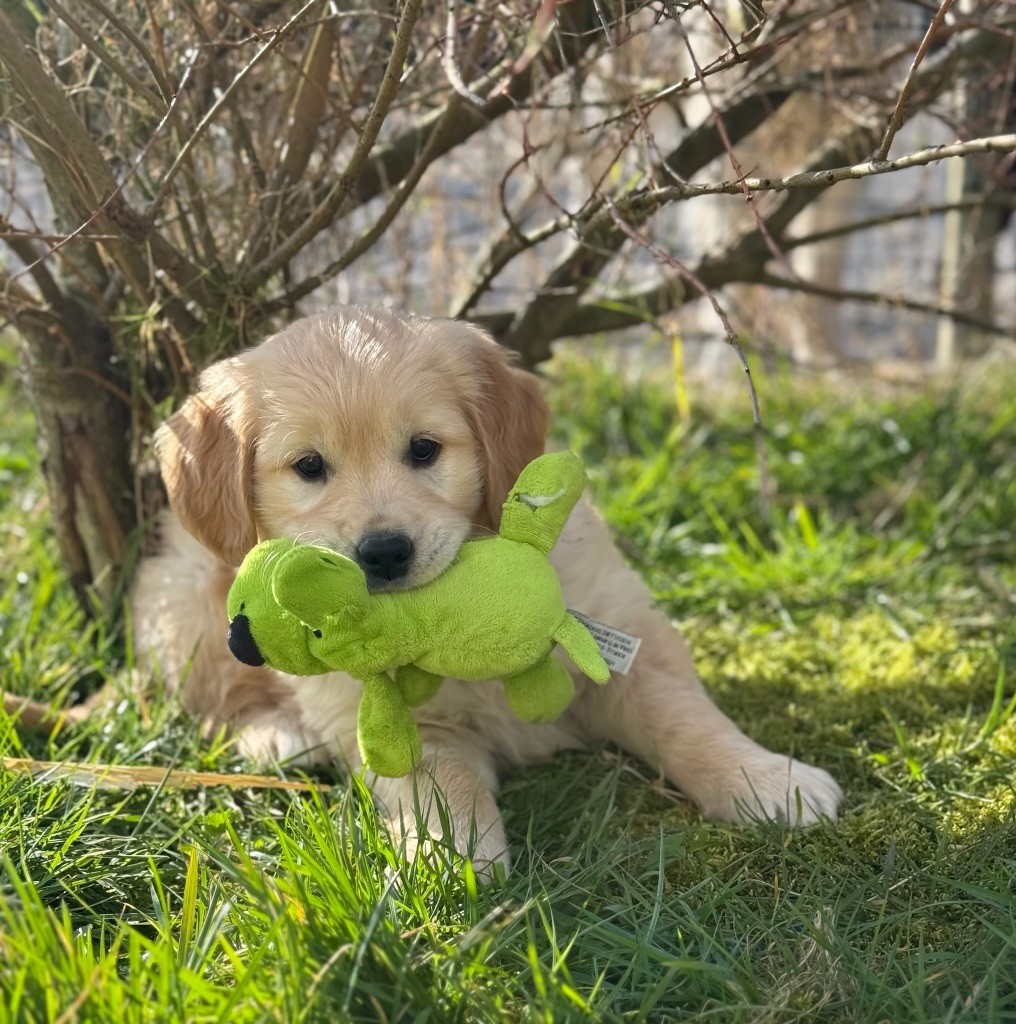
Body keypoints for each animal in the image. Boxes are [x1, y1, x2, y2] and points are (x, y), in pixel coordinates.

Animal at [131, 303, 839, 872]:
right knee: (218, 693)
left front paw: (768, 779)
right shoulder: (409, 727)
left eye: (424, 450)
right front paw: (451, 858)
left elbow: (684, 719)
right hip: (185, 592)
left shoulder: (625, 639)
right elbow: (445, 787)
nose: (383, 553)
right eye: (308, 467)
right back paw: (275, 733)